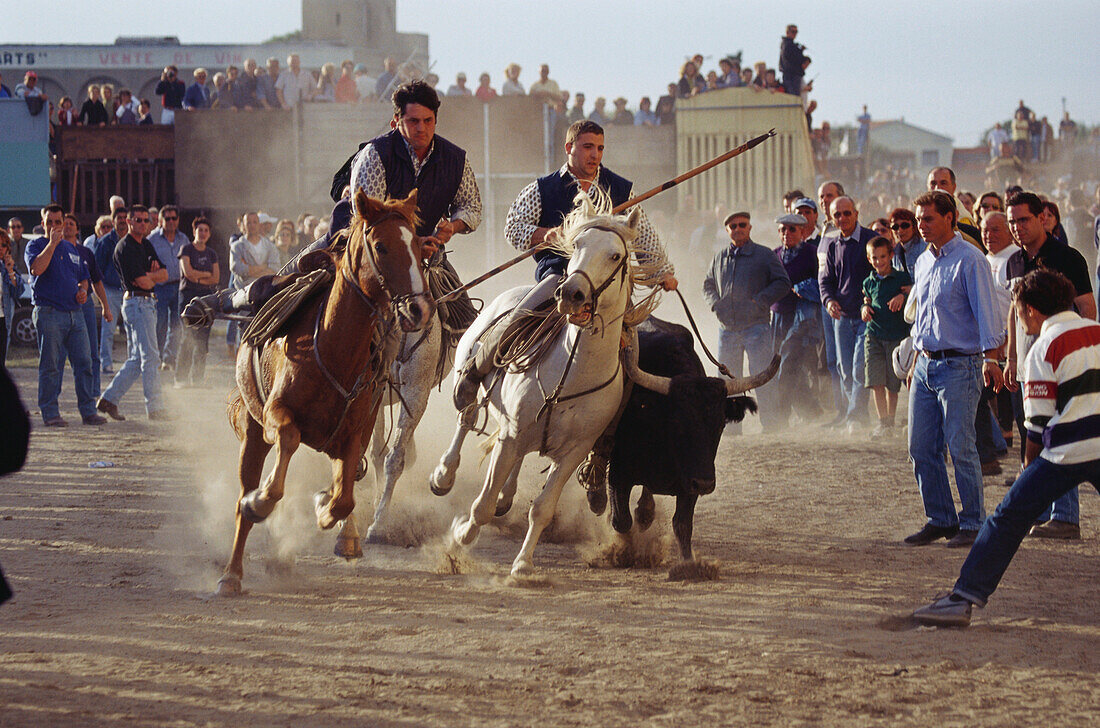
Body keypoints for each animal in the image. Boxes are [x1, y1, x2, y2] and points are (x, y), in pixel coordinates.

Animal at [214, 191, 433, 598]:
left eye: (417, 244)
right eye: (381, 246)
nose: (419, 308)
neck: (332, 347)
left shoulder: (353, 435)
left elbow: (344, 498)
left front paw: (324, 508)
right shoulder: (275, 415)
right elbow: (286, 442)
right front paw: (262, 501)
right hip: (253, 431)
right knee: (243, 497)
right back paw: (231, 572)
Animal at [429, 192, 660, 576]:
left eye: (615, 255)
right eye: (577, 244)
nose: (571, 293)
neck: (572, 369)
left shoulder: (572, 452)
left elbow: (542, 508)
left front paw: (523, 564)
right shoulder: (510, 436)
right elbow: (482, 504)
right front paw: (459, 537)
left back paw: (506, 496)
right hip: (473, 378)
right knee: (466, 416)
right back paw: (444, 474)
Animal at [602, 316, 765, 560]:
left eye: (720, 426)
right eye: (677, 424)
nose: (705, 484)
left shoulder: (691, 480)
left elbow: (682, 525)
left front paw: (689, 563)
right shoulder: (618, 472)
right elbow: (621, 520)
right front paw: (623, 551)